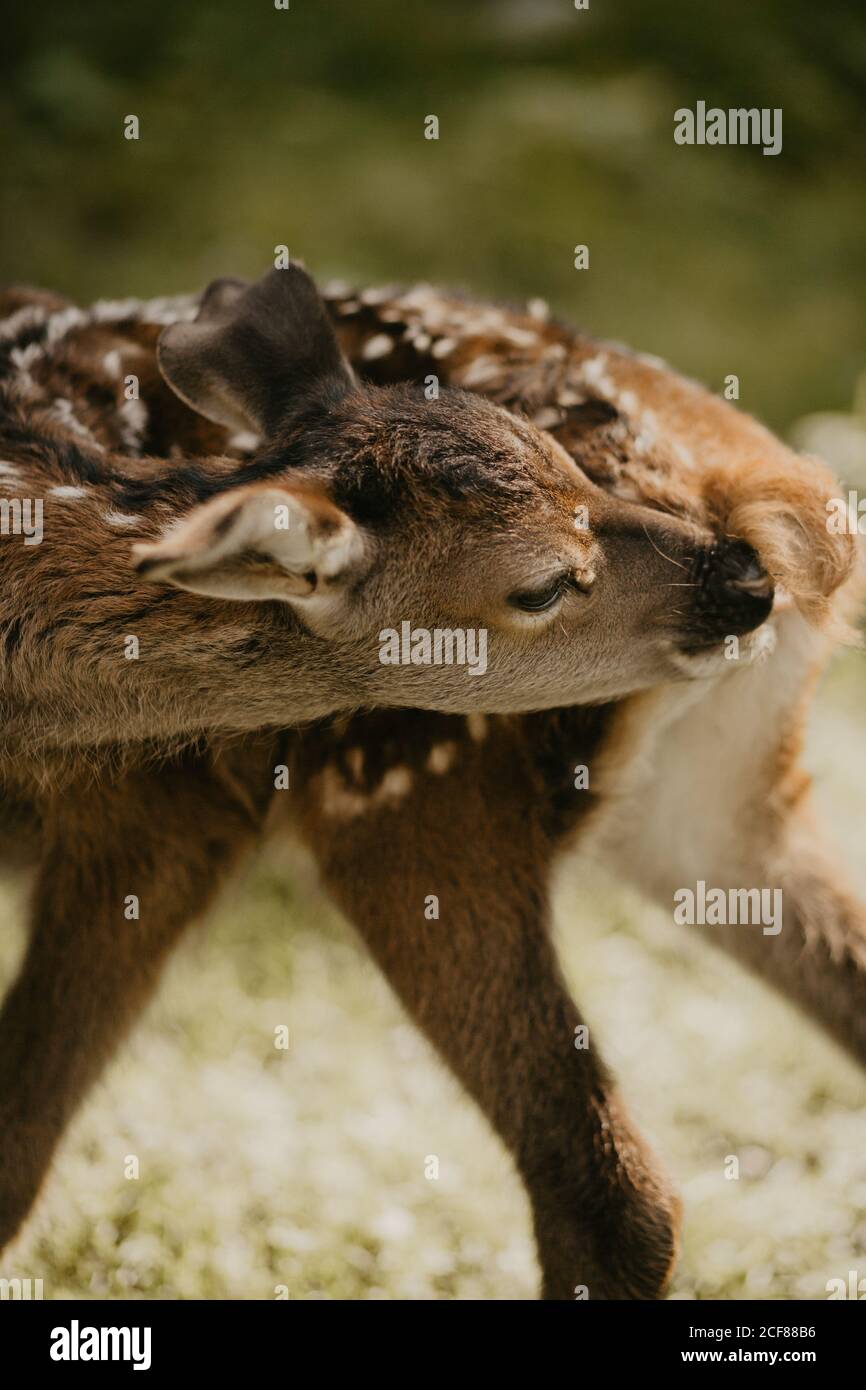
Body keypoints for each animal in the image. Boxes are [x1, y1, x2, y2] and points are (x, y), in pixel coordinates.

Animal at [0, 268, 861, 1299]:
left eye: (576, 472)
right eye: (540, 583)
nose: (740, 582)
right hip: (719, 805)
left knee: (612, 1192)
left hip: (413, 804)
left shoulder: (155, 820)